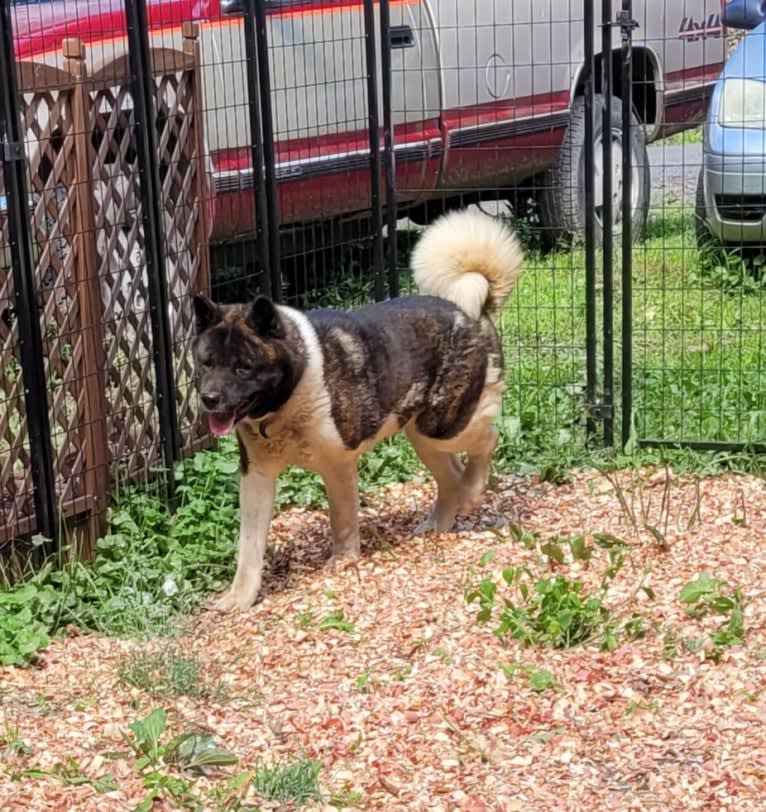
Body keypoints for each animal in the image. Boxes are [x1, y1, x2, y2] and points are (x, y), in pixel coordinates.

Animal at [195, 208, 524, 608]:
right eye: (207, 363)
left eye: (243, 368)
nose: (209, 399)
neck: (290, 395)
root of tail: (472, 307)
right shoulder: (256, 477)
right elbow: (249, 545)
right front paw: (239, 597)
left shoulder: (337, 464)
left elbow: (342, 518)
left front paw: (343, 560)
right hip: (424, 435)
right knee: (451, 477)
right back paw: (438, 523)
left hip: (442, 425)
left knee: (487, 440)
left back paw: (474, 490)